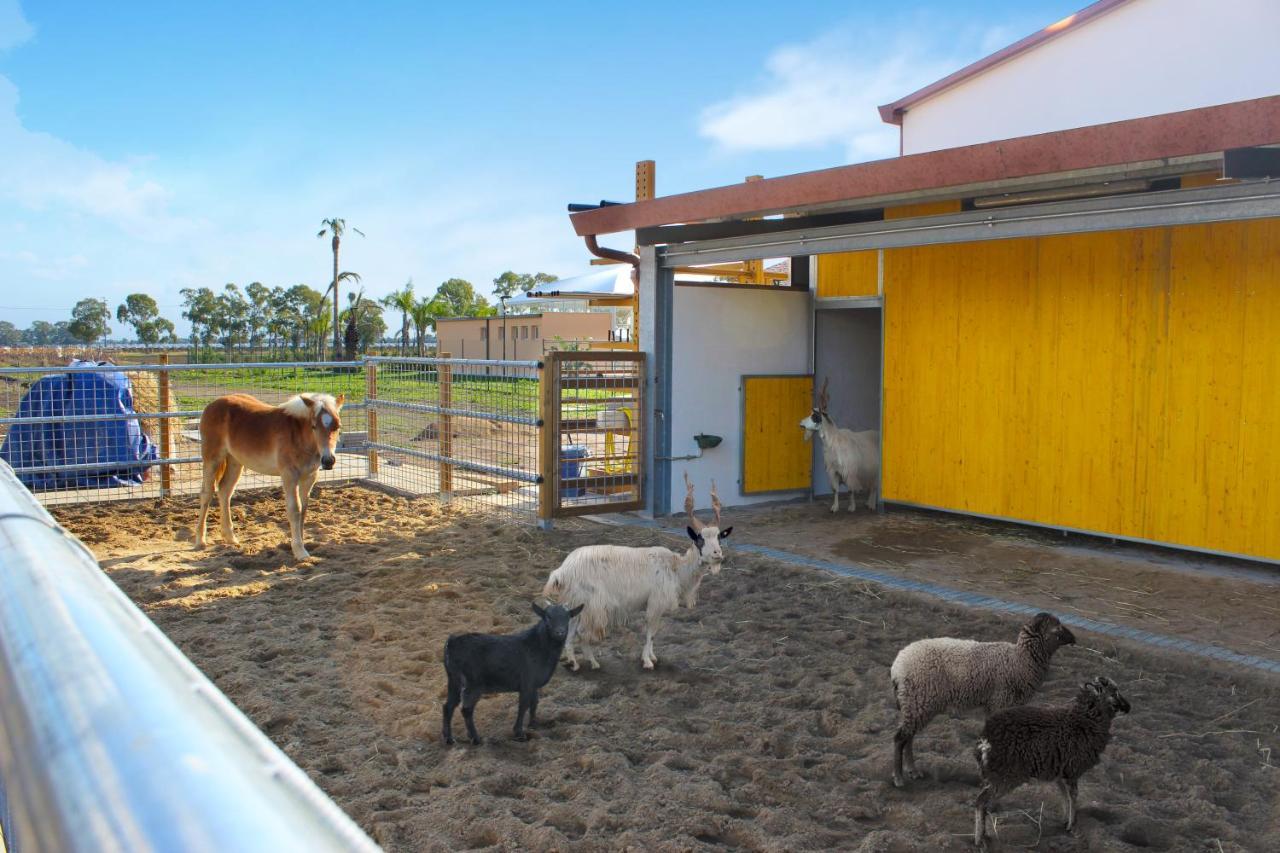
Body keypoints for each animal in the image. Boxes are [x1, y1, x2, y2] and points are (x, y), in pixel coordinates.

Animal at [194, 391, 345, 558]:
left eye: (338, 426)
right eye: (314, 426)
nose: (328, 460)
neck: (298, 435)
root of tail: (213, 404)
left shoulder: (309, 477)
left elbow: (304, 510)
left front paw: (301, 544)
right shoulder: (289, 475)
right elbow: (295, 510)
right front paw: (299, 550)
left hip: (235, 462)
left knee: (225, 491)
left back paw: (230, 538)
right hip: (212, 458)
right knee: (207, 493)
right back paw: (200, 540)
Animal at [440, 596, 581, 742]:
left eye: (567, 617)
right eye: (548, 617)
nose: (560, 632)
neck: (539, 646)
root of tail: (452, 642)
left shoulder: (534, 684)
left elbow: (534, 703)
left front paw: (533, 724)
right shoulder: (527, 682)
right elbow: (523, 705)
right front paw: (519, 733)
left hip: (453, 680)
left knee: (448, 706)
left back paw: (448, 738)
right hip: (472, 683)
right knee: (466, 709)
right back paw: (475, 738)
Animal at [545, 473, 737, 666]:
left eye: (719, 538)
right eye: (699, 540)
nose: (717, 555)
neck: (675, 567)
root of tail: (562, 571)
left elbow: (654, 633)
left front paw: (652, 656)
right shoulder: (655, 602)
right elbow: (650, 632)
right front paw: (647, 660)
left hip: (576, 601)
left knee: (571, 628)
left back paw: (578, 661)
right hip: (590, 603)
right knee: (580, 632)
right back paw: (584, 662)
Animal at [798, 379, 880, 512]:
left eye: (814, 416)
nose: (800, 423)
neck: (833, 440)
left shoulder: (850, 470)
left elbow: (850, 490)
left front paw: (851, 507)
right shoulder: (833, 471)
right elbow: (835, 490)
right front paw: (834, 507)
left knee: (874, 487)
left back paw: (871, 505)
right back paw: (869, 503)